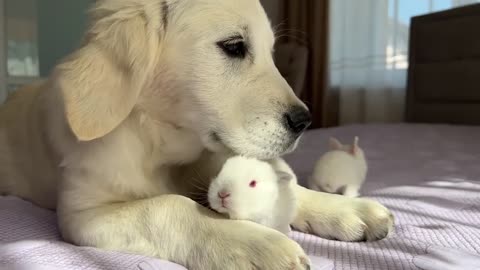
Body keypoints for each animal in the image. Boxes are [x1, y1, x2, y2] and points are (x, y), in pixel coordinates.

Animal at [0, 0, 392, 270]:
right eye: (234, 46)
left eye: (272, 53)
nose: (304, 121)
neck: (159, 144)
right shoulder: (84, 214)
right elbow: (168, 205)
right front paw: (252, 242)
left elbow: (286, 186)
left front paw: (345, 208)